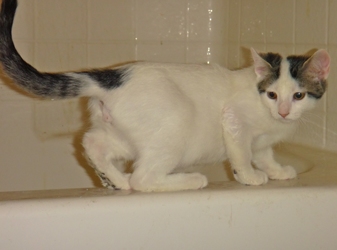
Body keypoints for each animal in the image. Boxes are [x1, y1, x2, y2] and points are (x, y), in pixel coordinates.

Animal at [0, 0, 330, 191]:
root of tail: (111, 78)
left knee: (92, 143)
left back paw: (116, 181)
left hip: (123, 134)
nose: (284, 111)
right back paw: (190, 180)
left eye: (298, 96)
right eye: (272, 94)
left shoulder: (262, 141)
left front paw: (278, 171)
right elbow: (242, 152)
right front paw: (249, 176)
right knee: (143, 178)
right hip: (175, 125)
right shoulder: (235, 118)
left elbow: (264, 154)